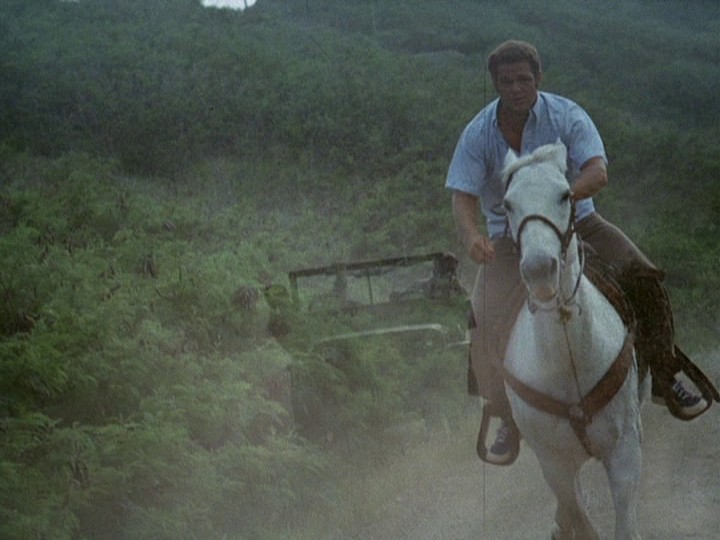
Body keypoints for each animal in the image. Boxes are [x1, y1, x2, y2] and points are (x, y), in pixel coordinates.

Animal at [501, 142, 650, 540]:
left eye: (565, 194)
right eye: (507, 204)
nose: (539, 270)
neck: (569, 360)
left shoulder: (624, 451)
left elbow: (624, 525)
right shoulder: (554, 463)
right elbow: (579, 515)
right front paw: (566, 524)